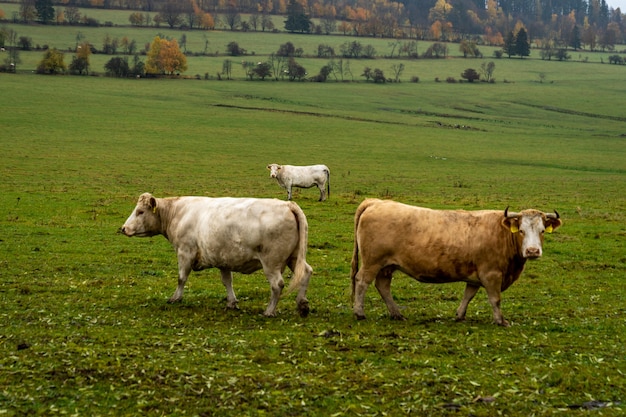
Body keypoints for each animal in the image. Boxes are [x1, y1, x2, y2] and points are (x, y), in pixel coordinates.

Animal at [121, 192, 312, 316]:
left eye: (140, 212)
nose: (123, 228)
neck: (178, 212)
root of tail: (288, 204)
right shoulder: (223, 258)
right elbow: (227, 281)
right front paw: (231, 302)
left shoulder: (185, 252)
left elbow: (181, 278)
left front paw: (175, 298)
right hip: (294, 257)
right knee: (306, 272)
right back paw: (302, 304)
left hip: (271, 262)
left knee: (277, 284)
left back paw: (269, 311)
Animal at [352, 198, 560, 324]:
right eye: (522, 231)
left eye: (542, 231)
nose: (532, 251)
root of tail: (376, 202)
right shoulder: (491, 274)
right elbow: (495, 299)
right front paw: (501, 321)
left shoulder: (476, 275)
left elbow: (468, 295)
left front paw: (460, 315)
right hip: (372, 262)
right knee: (362, 282)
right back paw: (359, 312)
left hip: (387, 266)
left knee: (383, 286)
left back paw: (396, 313)